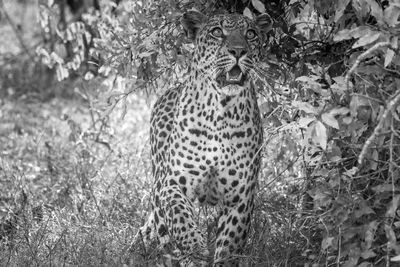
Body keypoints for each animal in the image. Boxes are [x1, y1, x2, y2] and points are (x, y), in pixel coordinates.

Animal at [139, 9, 274, 266]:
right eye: (217, 32)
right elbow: (180, 219)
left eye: (251, 34)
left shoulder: (241, 197)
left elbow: (230, 244)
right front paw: (195, 248)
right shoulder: (172, 183)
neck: (220, 110)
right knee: (163, 232)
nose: (238, 51)